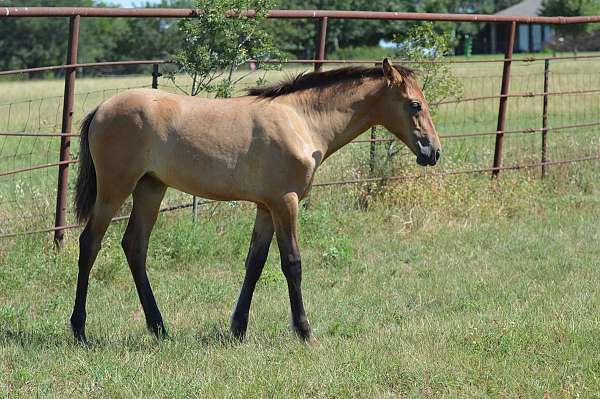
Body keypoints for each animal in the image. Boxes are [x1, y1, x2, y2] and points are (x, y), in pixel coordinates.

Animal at [70, 58, 440, 344]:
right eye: (415, 104)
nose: (433, 152)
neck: (301, 121)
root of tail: (101, 109)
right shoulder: (285, 202)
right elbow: (292, 263)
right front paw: (304, 331)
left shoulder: (266, 206)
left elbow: (255, 263)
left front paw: (237, 329)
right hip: (115, 189)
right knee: (90, 244)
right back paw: (79, 329)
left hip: (150, 189)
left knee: (135, 246)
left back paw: (159, 328)